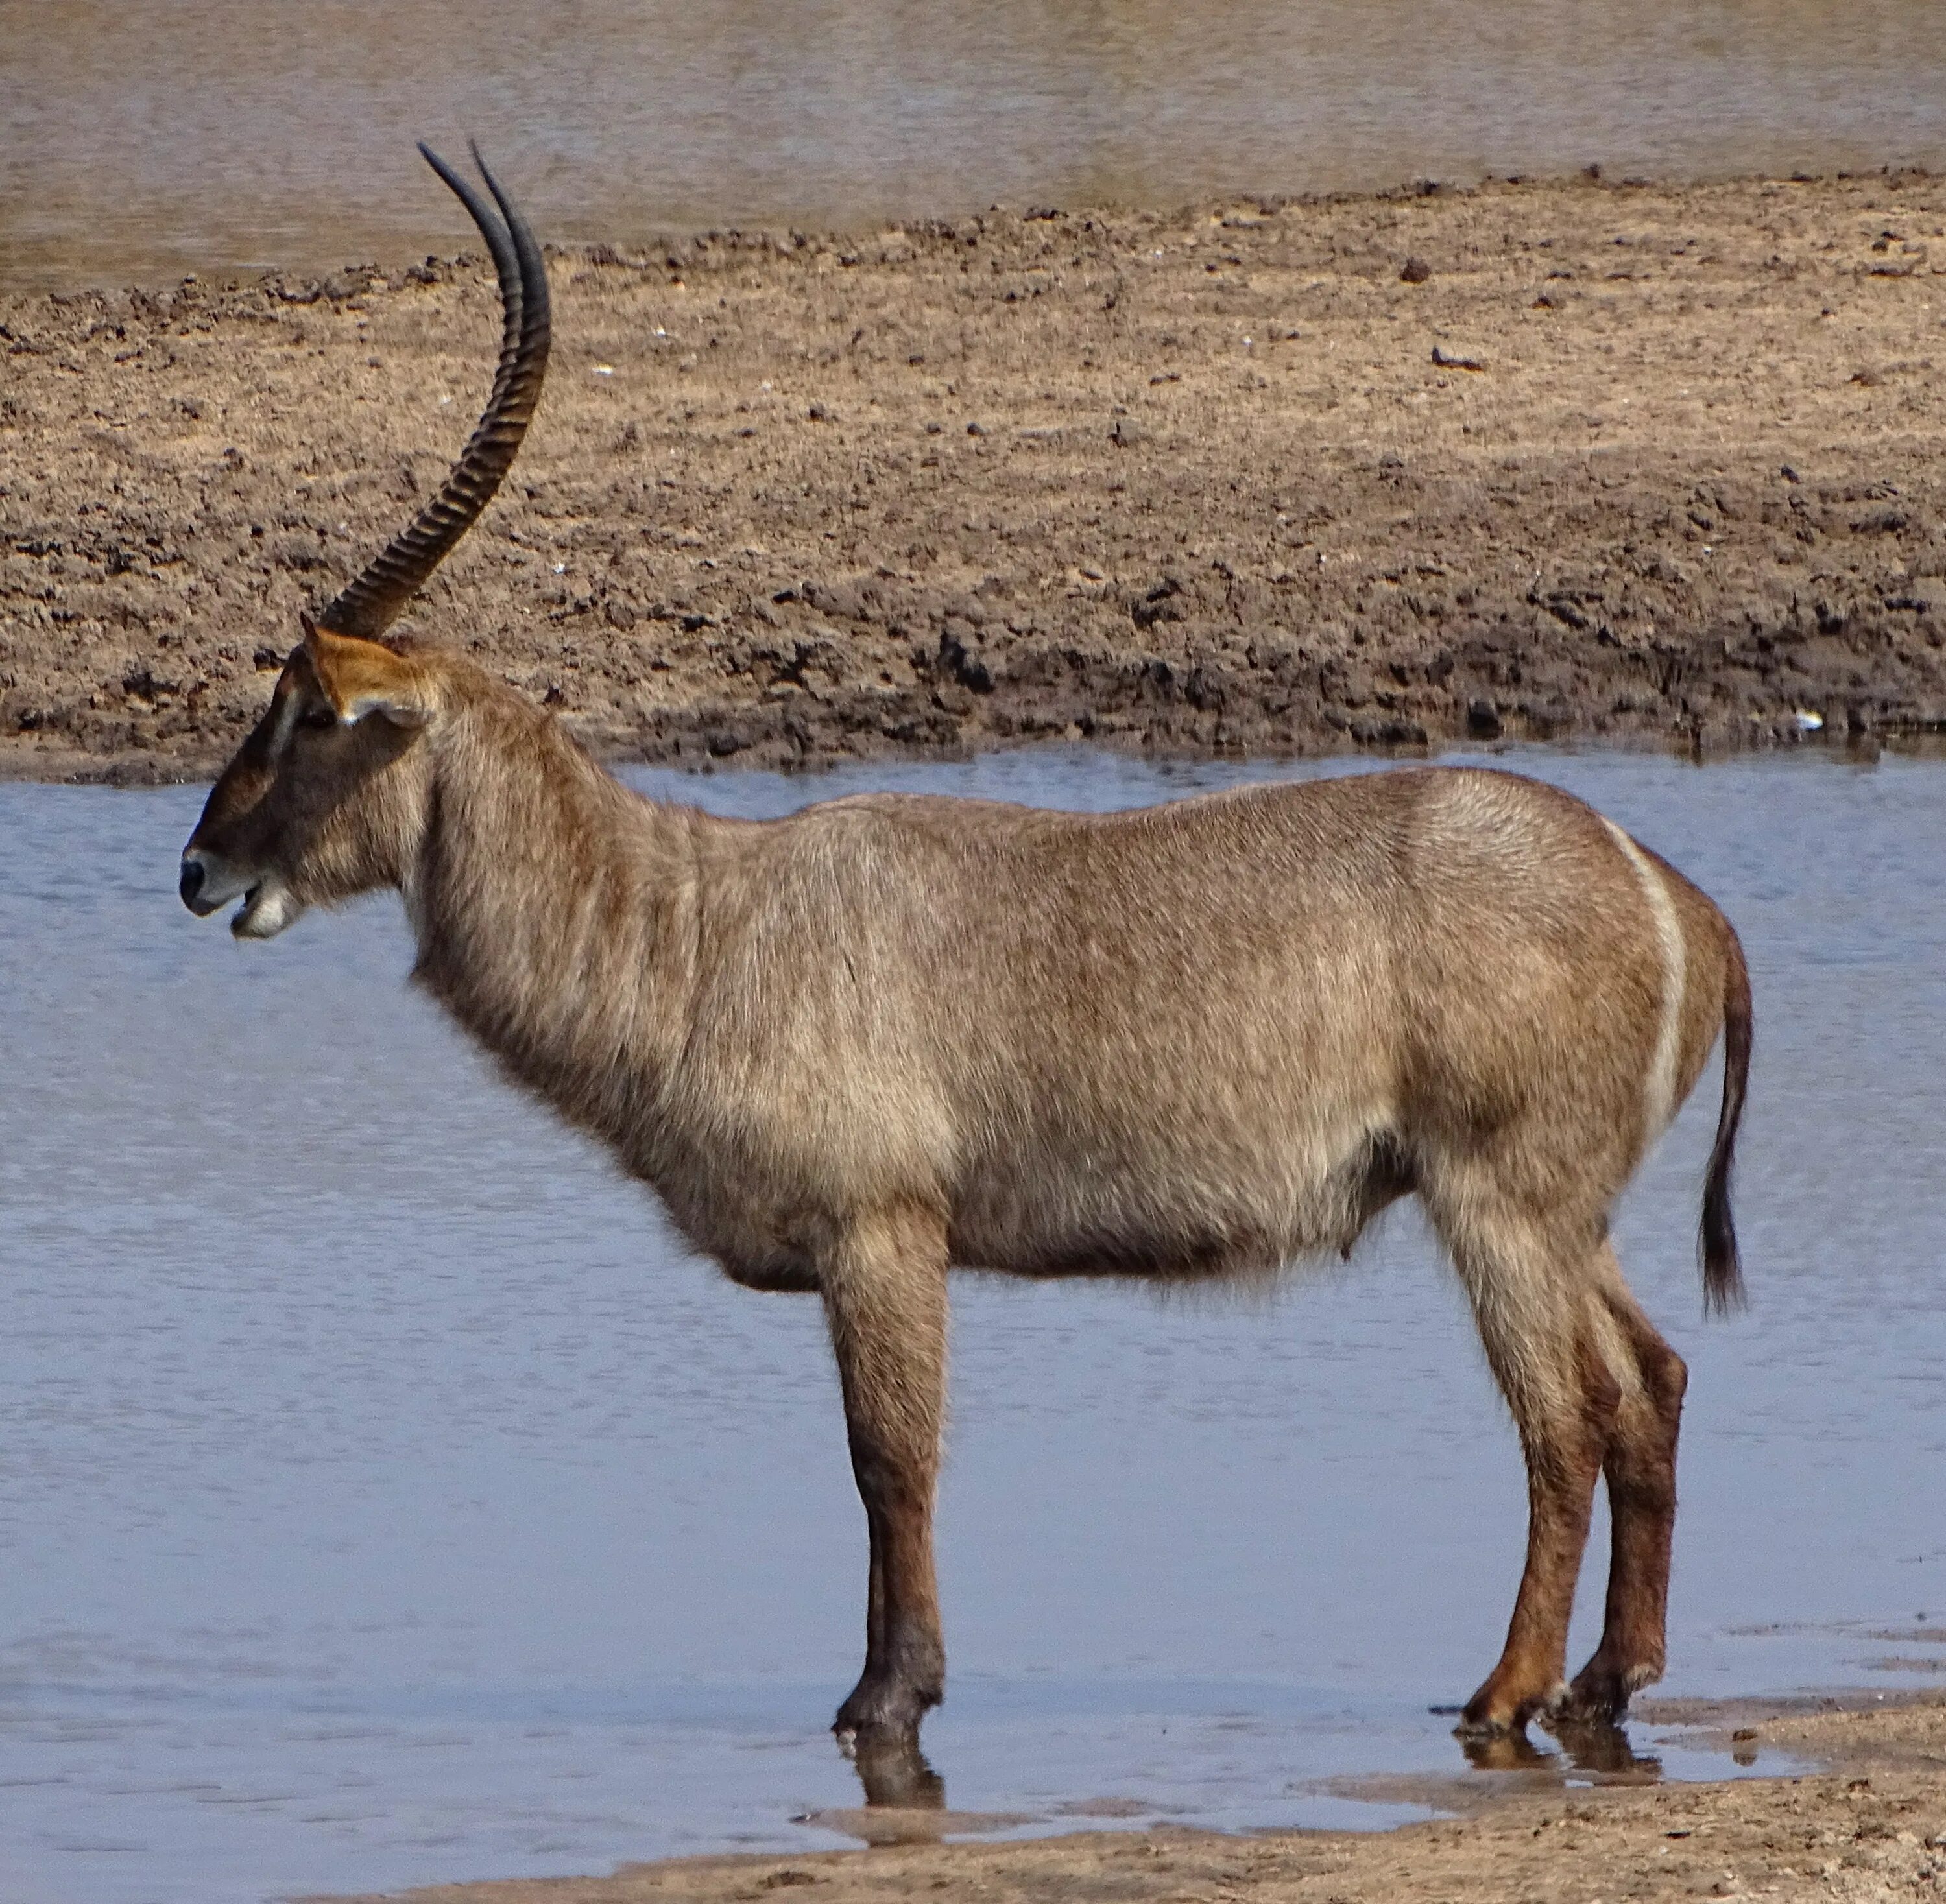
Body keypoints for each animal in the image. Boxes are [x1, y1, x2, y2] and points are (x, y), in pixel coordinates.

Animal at [183, 149, 1759, 1774]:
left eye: (307, 707)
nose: (198, 866)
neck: (695, 924)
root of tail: (1674, 894)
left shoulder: (882, 1231)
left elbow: (890, 1461)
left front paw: (889, 1698)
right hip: (1566, 1216)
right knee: (1653, 1383)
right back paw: (1610, 1679)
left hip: (1497, 1205)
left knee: (1565, 1421)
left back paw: (1506, 1694)